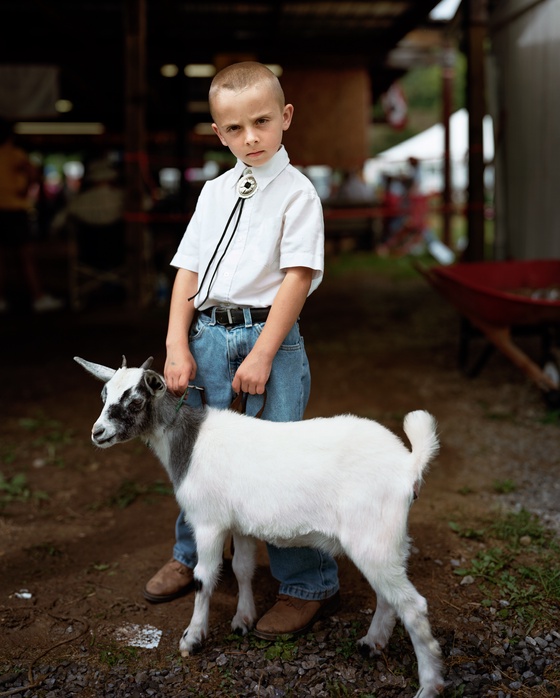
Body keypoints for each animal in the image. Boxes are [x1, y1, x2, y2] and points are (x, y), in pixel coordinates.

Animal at [74, 356, 444, 692]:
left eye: (135, 400)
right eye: (104, 395)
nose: (97, 433)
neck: (189, 443)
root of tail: (409, 464)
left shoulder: (208, 523)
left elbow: (204, 578)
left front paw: (193, 638)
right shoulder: (238, 525)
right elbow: (241, 568)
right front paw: (243, 620)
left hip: (372, 537)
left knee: (413, 606)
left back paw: (429, 685)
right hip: (386, 540)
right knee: (388, 595)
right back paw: (372, 644)